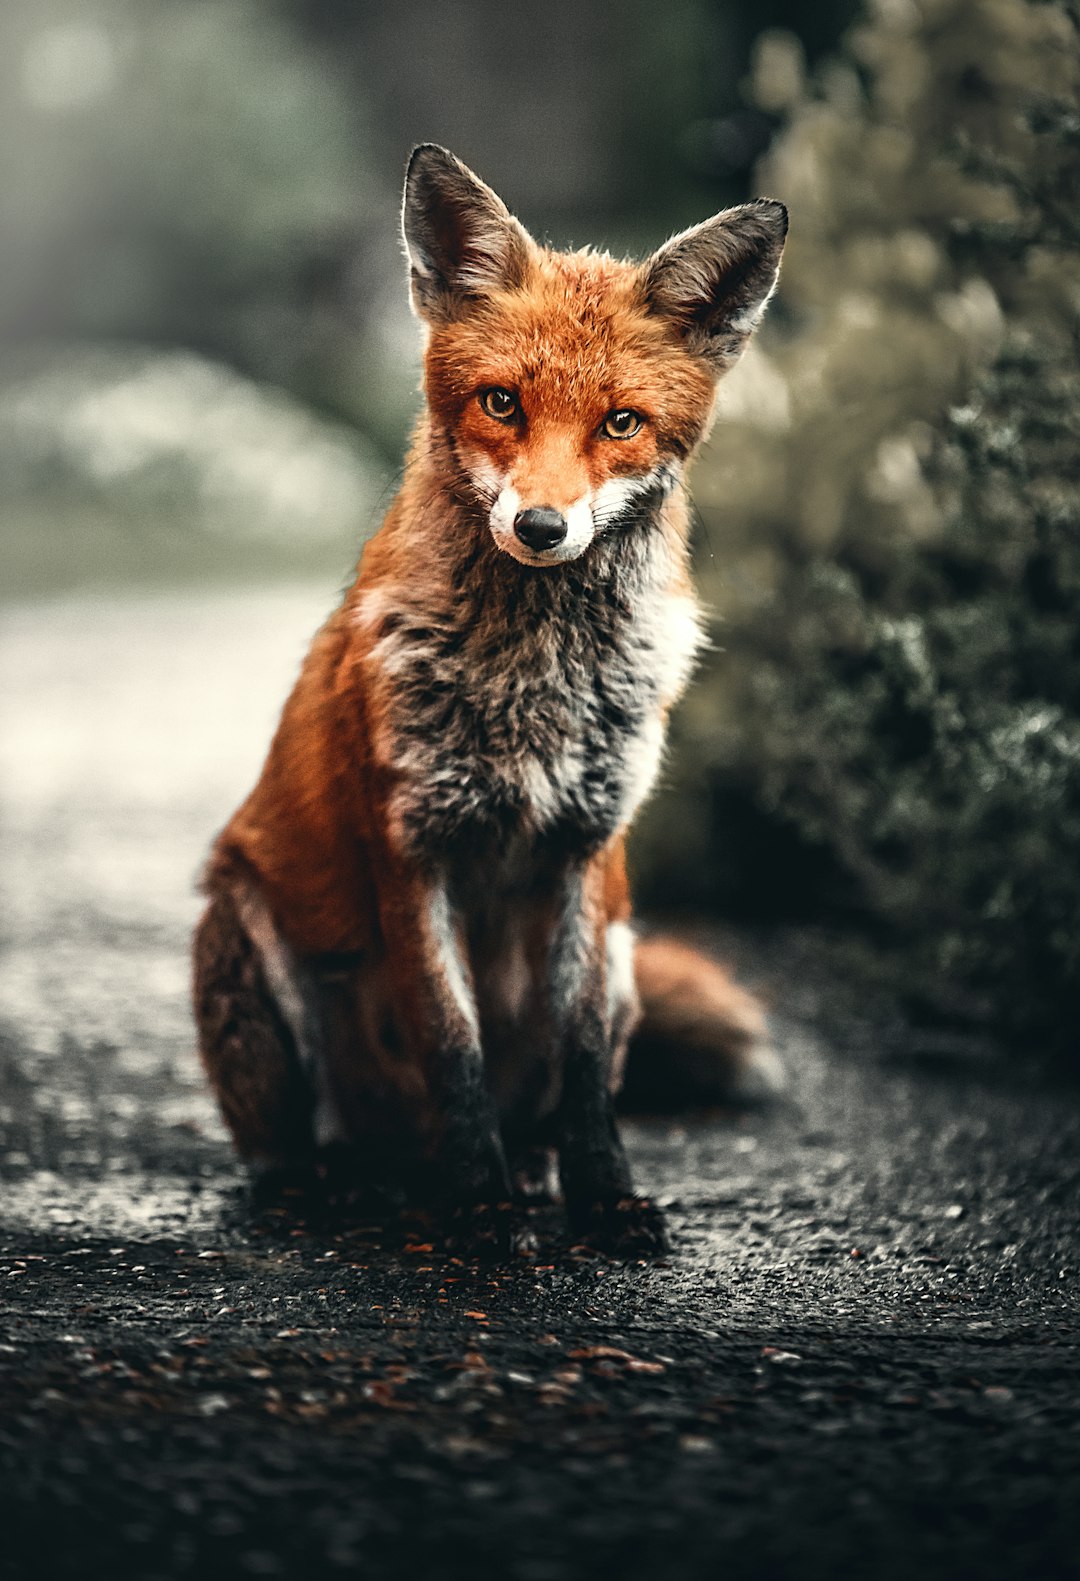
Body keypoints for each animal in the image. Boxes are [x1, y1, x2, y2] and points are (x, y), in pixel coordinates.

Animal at [194, 148, 784, 1258]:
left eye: (621, 423)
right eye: (502, 403)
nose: (543, 527)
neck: (534, 685)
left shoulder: (589, 852)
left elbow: (585, 1064)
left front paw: (604, 1198)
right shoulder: (412, 848)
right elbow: (452, 1044)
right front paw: (480, 1210)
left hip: (628, 952)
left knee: (543, 1105)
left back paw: (526, 1173)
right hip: (246, 936)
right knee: (299, 1149)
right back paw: (344, 1187)